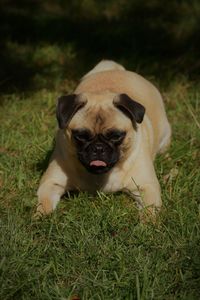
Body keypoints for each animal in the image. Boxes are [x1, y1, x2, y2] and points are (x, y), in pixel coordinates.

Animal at [35, 59, 170, 217]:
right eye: (81, 136)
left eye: (116, 136)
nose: (98, 147)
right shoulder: (51, 183)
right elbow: (44, 204)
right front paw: (41, 218)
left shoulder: (147, 187)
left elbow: (150, 212)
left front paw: (147, 223)